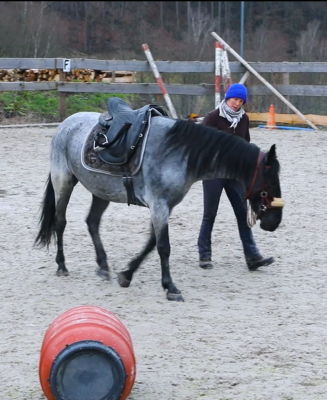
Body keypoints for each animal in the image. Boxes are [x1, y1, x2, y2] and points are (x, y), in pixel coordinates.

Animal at [34, 101, 284, 302]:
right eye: (269, 185)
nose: (274, 222)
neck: (178, 152)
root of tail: (67, 123)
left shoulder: (164, 207)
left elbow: (152, 243)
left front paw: (126, 275)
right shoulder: (159, 206)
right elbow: (163, 247)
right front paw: (170, 288)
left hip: (101, 191)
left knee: (92, 223)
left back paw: (103, 267)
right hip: (63, 182)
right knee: (60, 222)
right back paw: (62, 265)